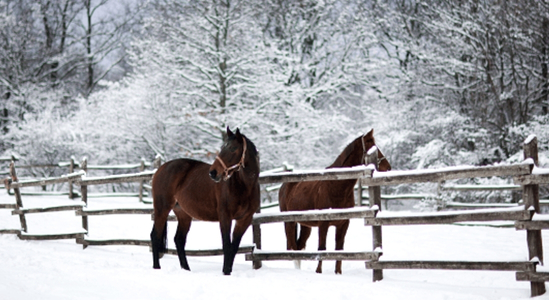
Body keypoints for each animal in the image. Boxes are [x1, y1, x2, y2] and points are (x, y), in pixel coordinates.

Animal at [149, 126, 260, 274]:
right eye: (222, 147)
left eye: (233, 148)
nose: (213, 172)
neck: (244, 186)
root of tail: (160, 169)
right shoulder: (225, 217)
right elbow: (227, 245)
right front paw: (225, 272)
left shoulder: (245, 220)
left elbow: (234, 247)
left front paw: (228, 271)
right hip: (162, 209)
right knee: (155, 236)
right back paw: (157, 267)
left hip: (183, 214)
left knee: (179, 240)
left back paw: (186, 269)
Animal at [278, 129, 390, 274]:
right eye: (370, 146)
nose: (388, 167)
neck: (336, 186)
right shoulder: (323, 224)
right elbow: (322, 248)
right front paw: (318, 272)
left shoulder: (343, 224)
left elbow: (339, 249)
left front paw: (338, 273)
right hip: (290, 222)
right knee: (293, 246)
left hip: (305, 225)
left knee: (300, 245)